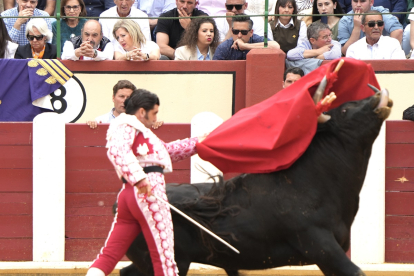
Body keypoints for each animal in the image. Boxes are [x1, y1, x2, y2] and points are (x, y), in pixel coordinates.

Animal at [119, 91, 392, 276]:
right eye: (345, 111)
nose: (379, 94)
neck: (316, 179)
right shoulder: (321, 245)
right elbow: (356, 271)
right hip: (171, 258)